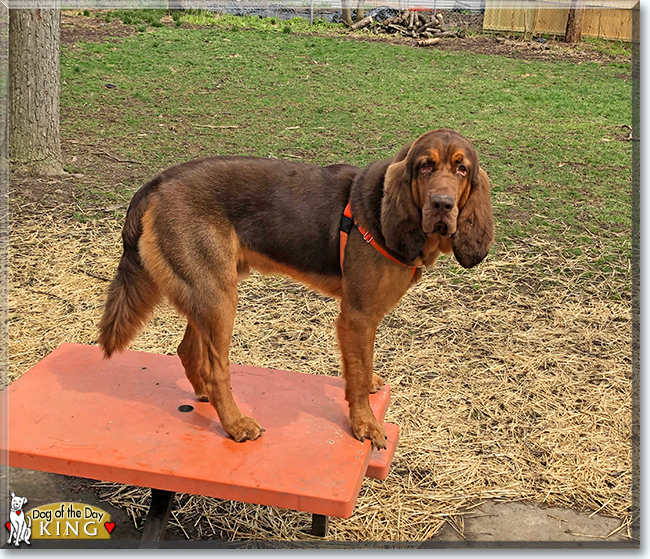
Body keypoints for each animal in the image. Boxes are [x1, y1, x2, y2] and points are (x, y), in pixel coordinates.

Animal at [97, 128, 492, 450]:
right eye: (425, 167)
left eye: (462, 170)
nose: (442, 204)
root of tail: (158, 181)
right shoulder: (357, 317)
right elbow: (357, 374)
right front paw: (364, 424)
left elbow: (361, 368)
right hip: (219, 299)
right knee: (217, 368)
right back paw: (235, 424)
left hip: (208, 291)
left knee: (188, 352)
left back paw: (207, 397)